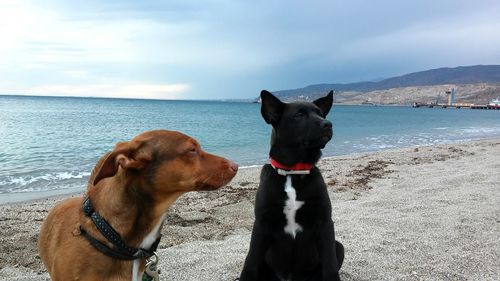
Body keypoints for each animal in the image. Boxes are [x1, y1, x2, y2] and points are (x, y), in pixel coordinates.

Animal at [239, 90, 344, 280]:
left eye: (321, 113)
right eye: (299, 115)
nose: (328, 124)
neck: (293, 172)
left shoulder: (325, 222)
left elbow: (330, 265)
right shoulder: (261, 224)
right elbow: (250, 263)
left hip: (338, 246)